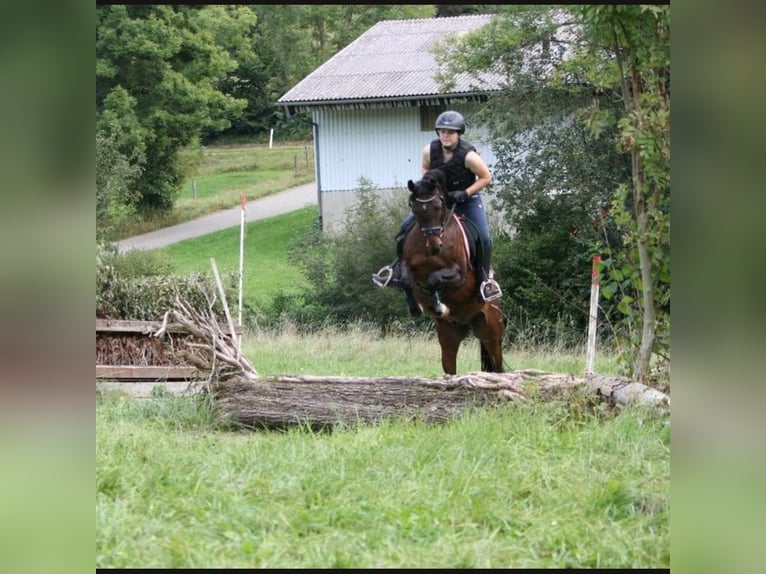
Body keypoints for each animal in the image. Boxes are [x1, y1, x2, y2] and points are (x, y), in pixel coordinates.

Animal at [400, 170, 508, 378]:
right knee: (450, 367)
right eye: (414, 209)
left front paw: (438, 305)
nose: (435, 247)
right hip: (449, 334)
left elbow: (434, 279)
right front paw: (416, 307)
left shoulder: (459, 276)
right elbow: (406, 280)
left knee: (497, 365)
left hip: (492, 331)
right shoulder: (407, 267)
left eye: (437, 206)